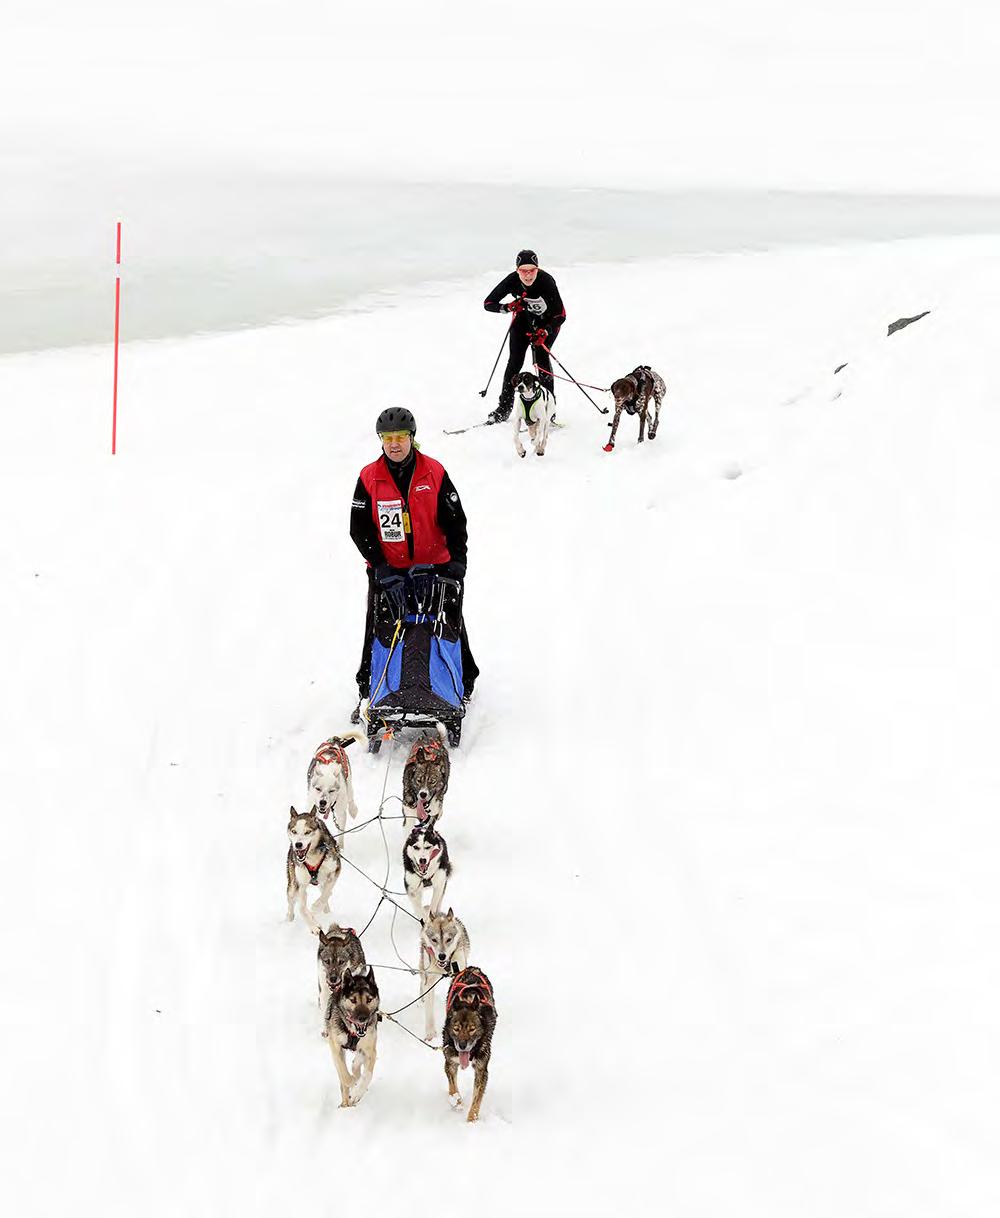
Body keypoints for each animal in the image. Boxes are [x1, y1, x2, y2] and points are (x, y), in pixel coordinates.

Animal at [326, 964, 380, 1110]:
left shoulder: (370, 1050)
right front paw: (352, 1084)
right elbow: (344, 1076)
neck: (353, 1032)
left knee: (356, 1064)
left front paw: (357, 1092)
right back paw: (346, 1102)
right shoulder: (336, 1048)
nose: (362, 1018)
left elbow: (367, 1075)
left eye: (369, 1000)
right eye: (353, 1000)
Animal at [419, 911, 470, 1042]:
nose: (442, 956)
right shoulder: (429, 981)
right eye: (434, 940)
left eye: (449, 939)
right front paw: (430, 1033)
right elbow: (429, 1011)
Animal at [440, 964, 494, 1125]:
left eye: (472, 1029)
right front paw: (456, 1102)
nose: (462, 1046)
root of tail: (472, 968)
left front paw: (471, 1120)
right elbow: (453, 1087)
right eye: (456, 1028)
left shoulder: (482, 1069)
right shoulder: (450, 1062)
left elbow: (477, 1099)